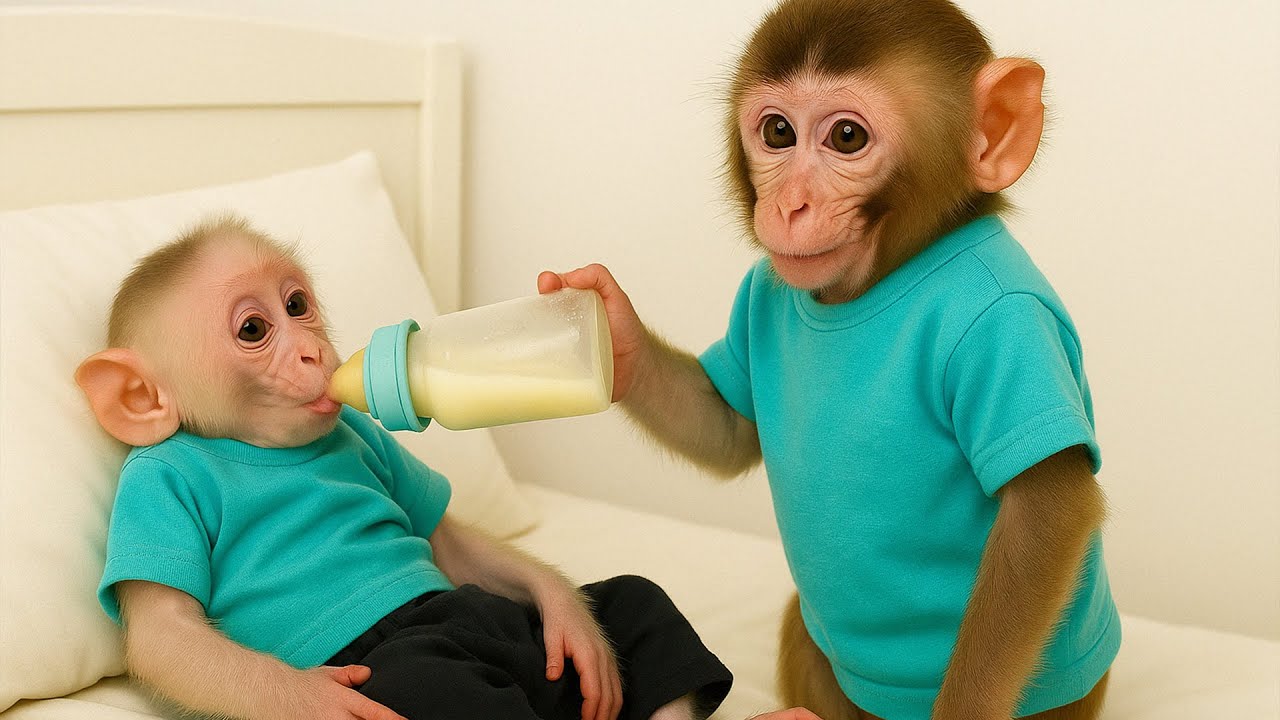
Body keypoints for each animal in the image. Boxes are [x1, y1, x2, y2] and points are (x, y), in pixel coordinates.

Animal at [75, 215, 741, 720]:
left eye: (297, 304)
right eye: (254, 328)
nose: (313, 353)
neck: (263, 447)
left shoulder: (387, 455)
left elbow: (446, 539)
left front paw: (571, 620)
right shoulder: (156, 488)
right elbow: (168, 634)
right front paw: (322, 704)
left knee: (642, 606)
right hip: (429, 677)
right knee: (452, 691)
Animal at [538, 1, 1120, 718]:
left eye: (846, 137)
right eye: (778, 132)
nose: (789, 205)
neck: (878, 282)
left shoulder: (1005, 324)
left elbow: (1046, 511)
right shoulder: (762, 289)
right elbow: (726, 431)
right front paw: (609, 324)